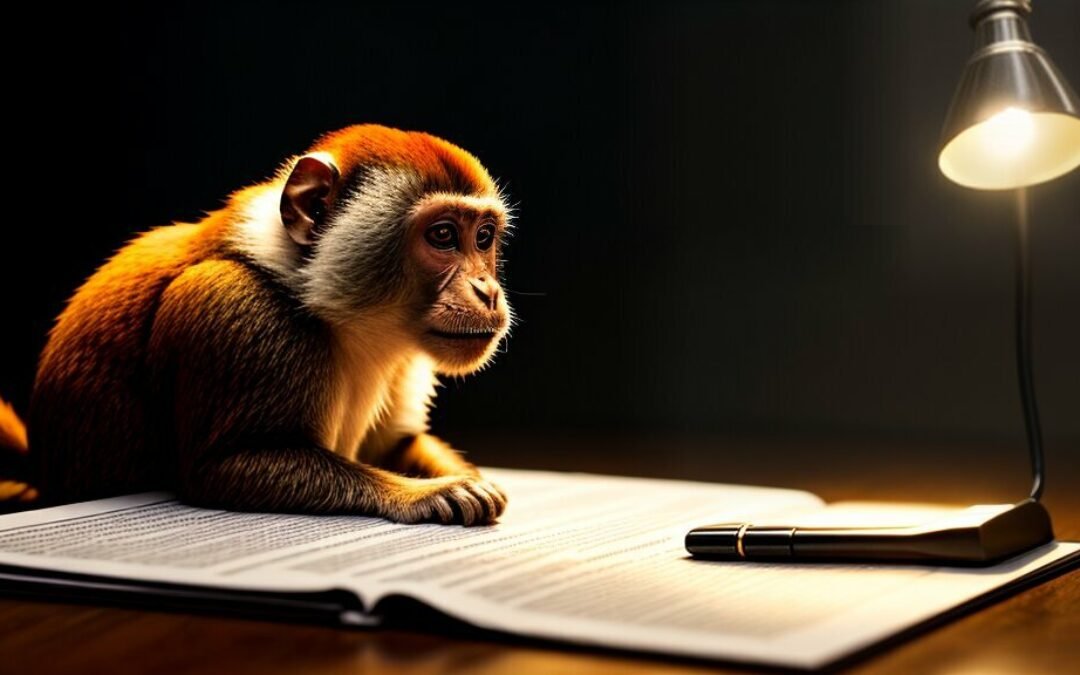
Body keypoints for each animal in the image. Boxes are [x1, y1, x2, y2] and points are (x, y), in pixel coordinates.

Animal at [0, 124, 512, 525]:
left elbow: (397, 444)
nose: (487, 291)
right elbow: (224, 468)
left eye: (483, 237)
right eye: (443, 235)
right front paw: (422, 493)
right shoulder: (233, 307)